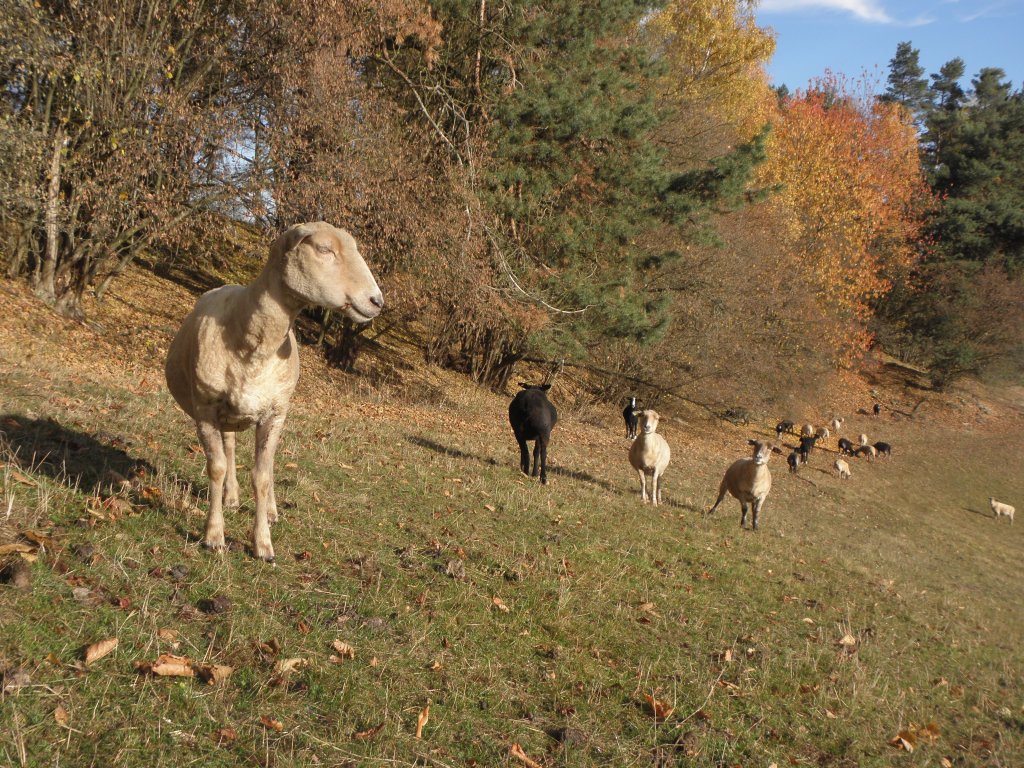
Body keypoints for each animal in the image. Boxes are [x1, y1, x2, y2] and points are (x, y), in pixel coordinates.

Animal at [165, 222, 383, 562]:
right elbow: (216, 467)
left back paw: (269, 511)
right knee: (229, 449)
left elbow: (263, 476)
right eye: (324, 249)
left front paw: (263, 544)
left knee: (264, 463)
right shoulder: (205, 408)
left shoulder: (274, 414)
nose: (377, 301)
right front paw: (214, 536)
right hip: (226, 413)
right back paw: (231, 497)